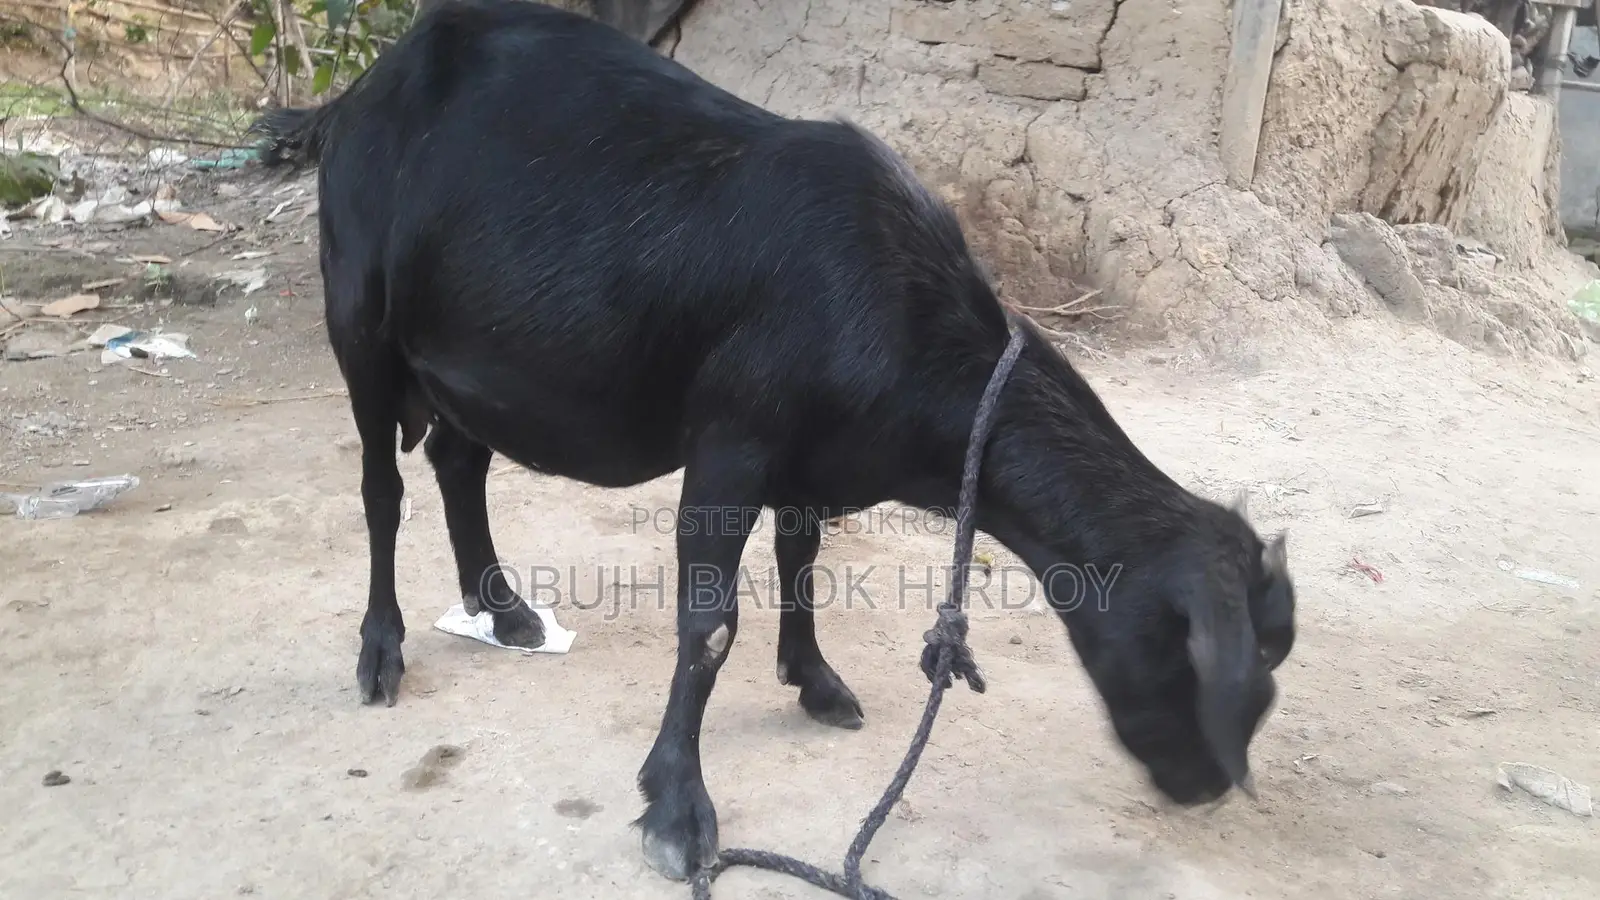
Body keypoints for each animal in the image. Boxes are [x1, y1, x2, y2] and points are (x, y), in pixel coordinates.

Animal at [250, 0, 1296, 881]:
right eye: (1197, 658)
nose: (1208, 785)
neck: (892, 306)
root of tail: (361, 94)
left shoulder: (807, 458)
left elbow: (802, 562)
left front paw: (817, 682)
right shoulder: (731, 443)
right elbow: (710, 624)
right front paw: (677, 809)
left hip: (473, 362)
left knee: (458, 462)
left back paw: (505, 611)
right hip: (360, 325)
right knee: (381, 491)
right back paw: (380, 653)